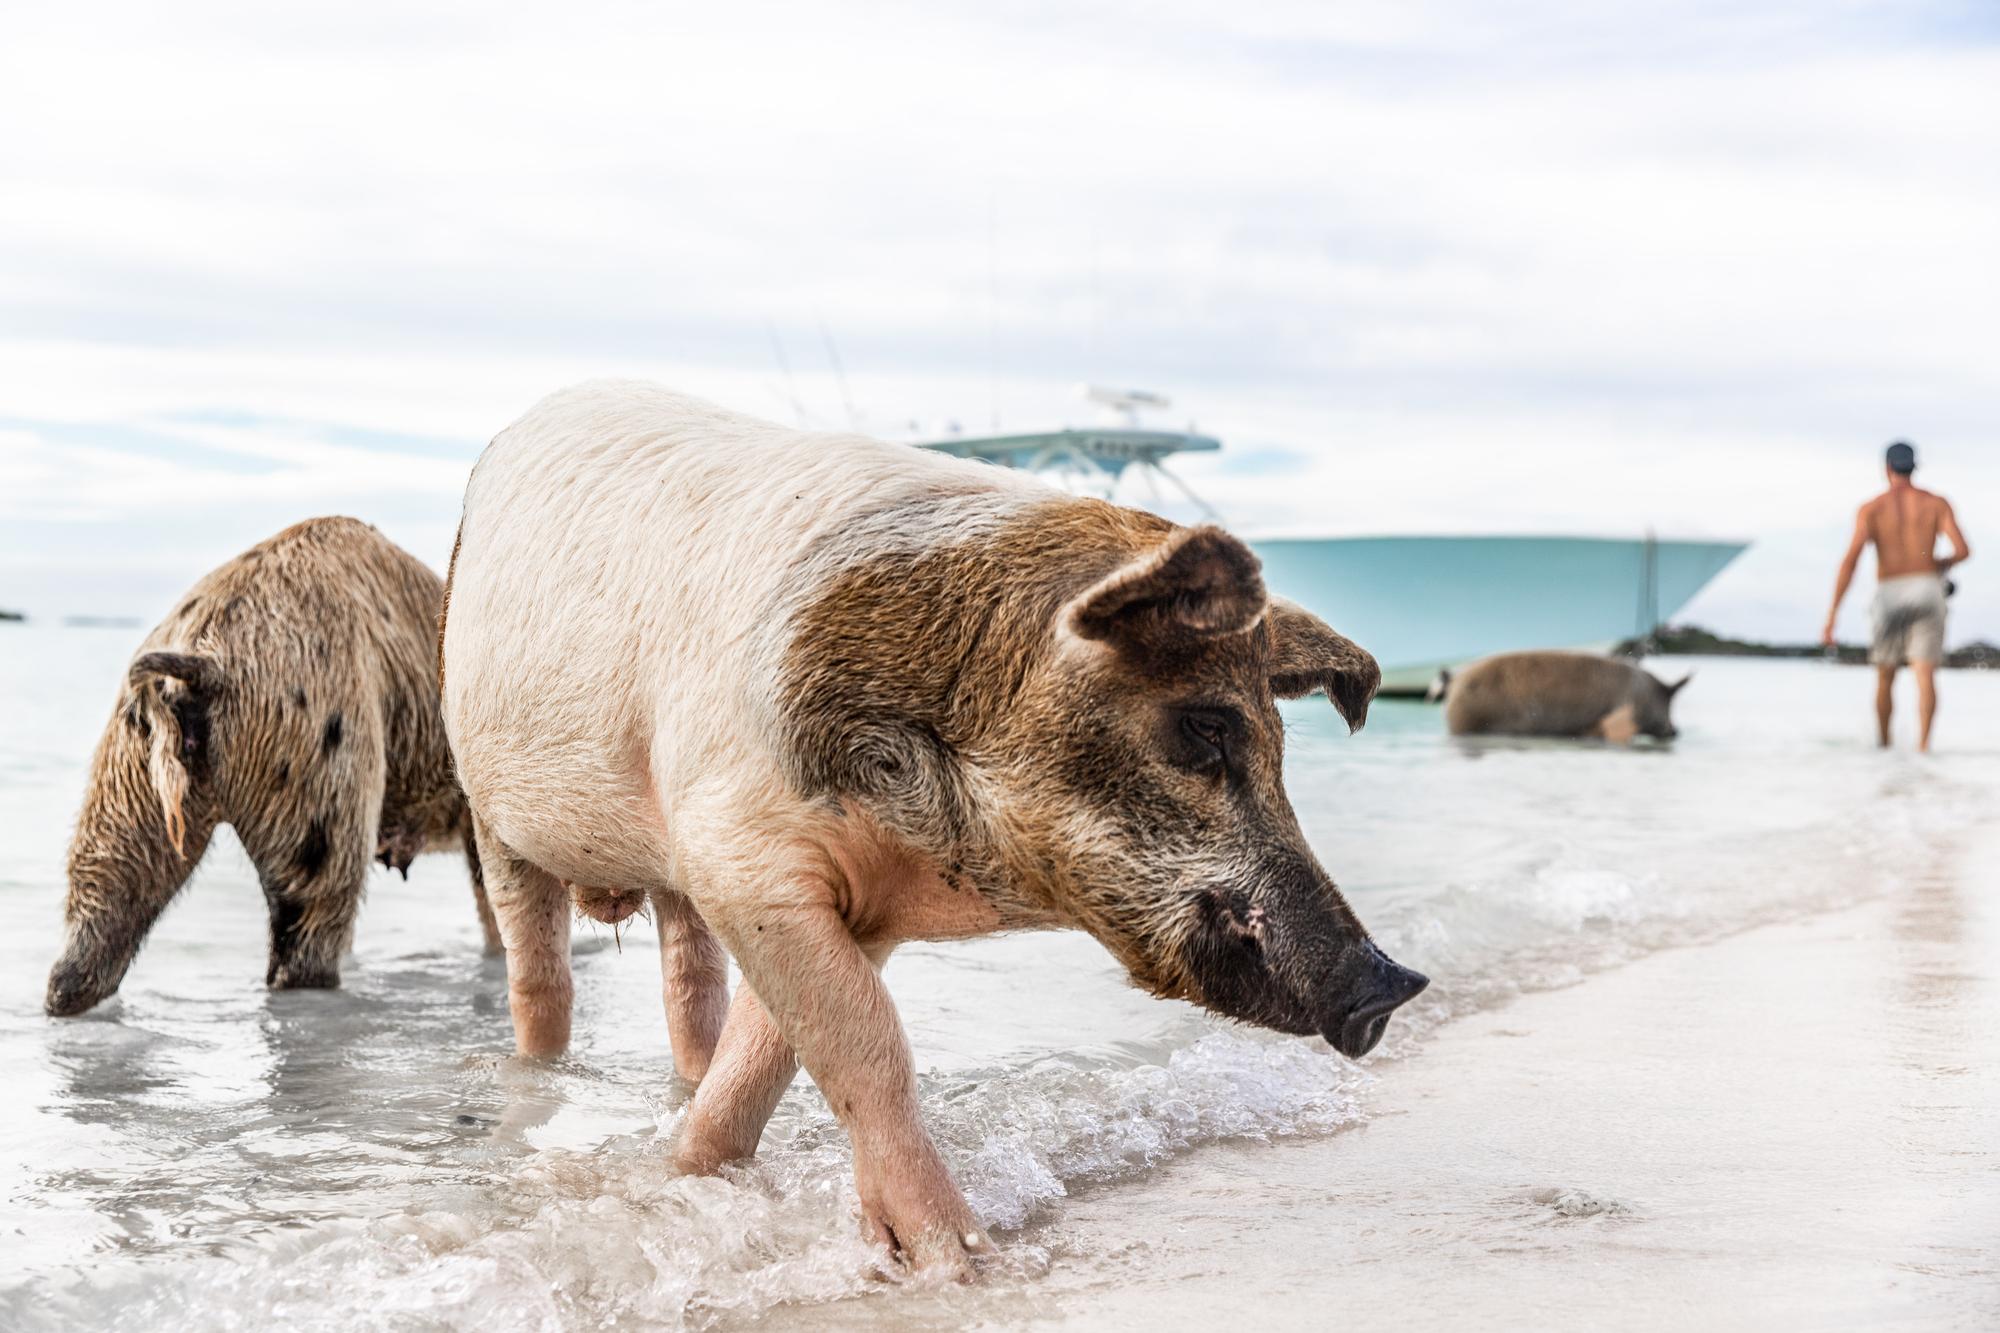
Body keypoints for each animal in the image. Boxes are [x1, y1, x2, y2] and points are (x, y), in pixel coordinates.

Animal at [446, 378, 1432, 1272]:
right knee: (539, 974)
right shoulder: (743, 854)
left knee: (691, 985)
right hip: (486, 805)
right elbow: (870, 1043)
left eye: (1278, 747)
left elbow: (770, 1057)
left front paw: (695, 1174)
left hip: (667, 871)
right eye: (1204, 726)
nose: (1393, 981)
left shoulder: (837, 906)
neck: (938, 840)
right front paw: (958, 1259)